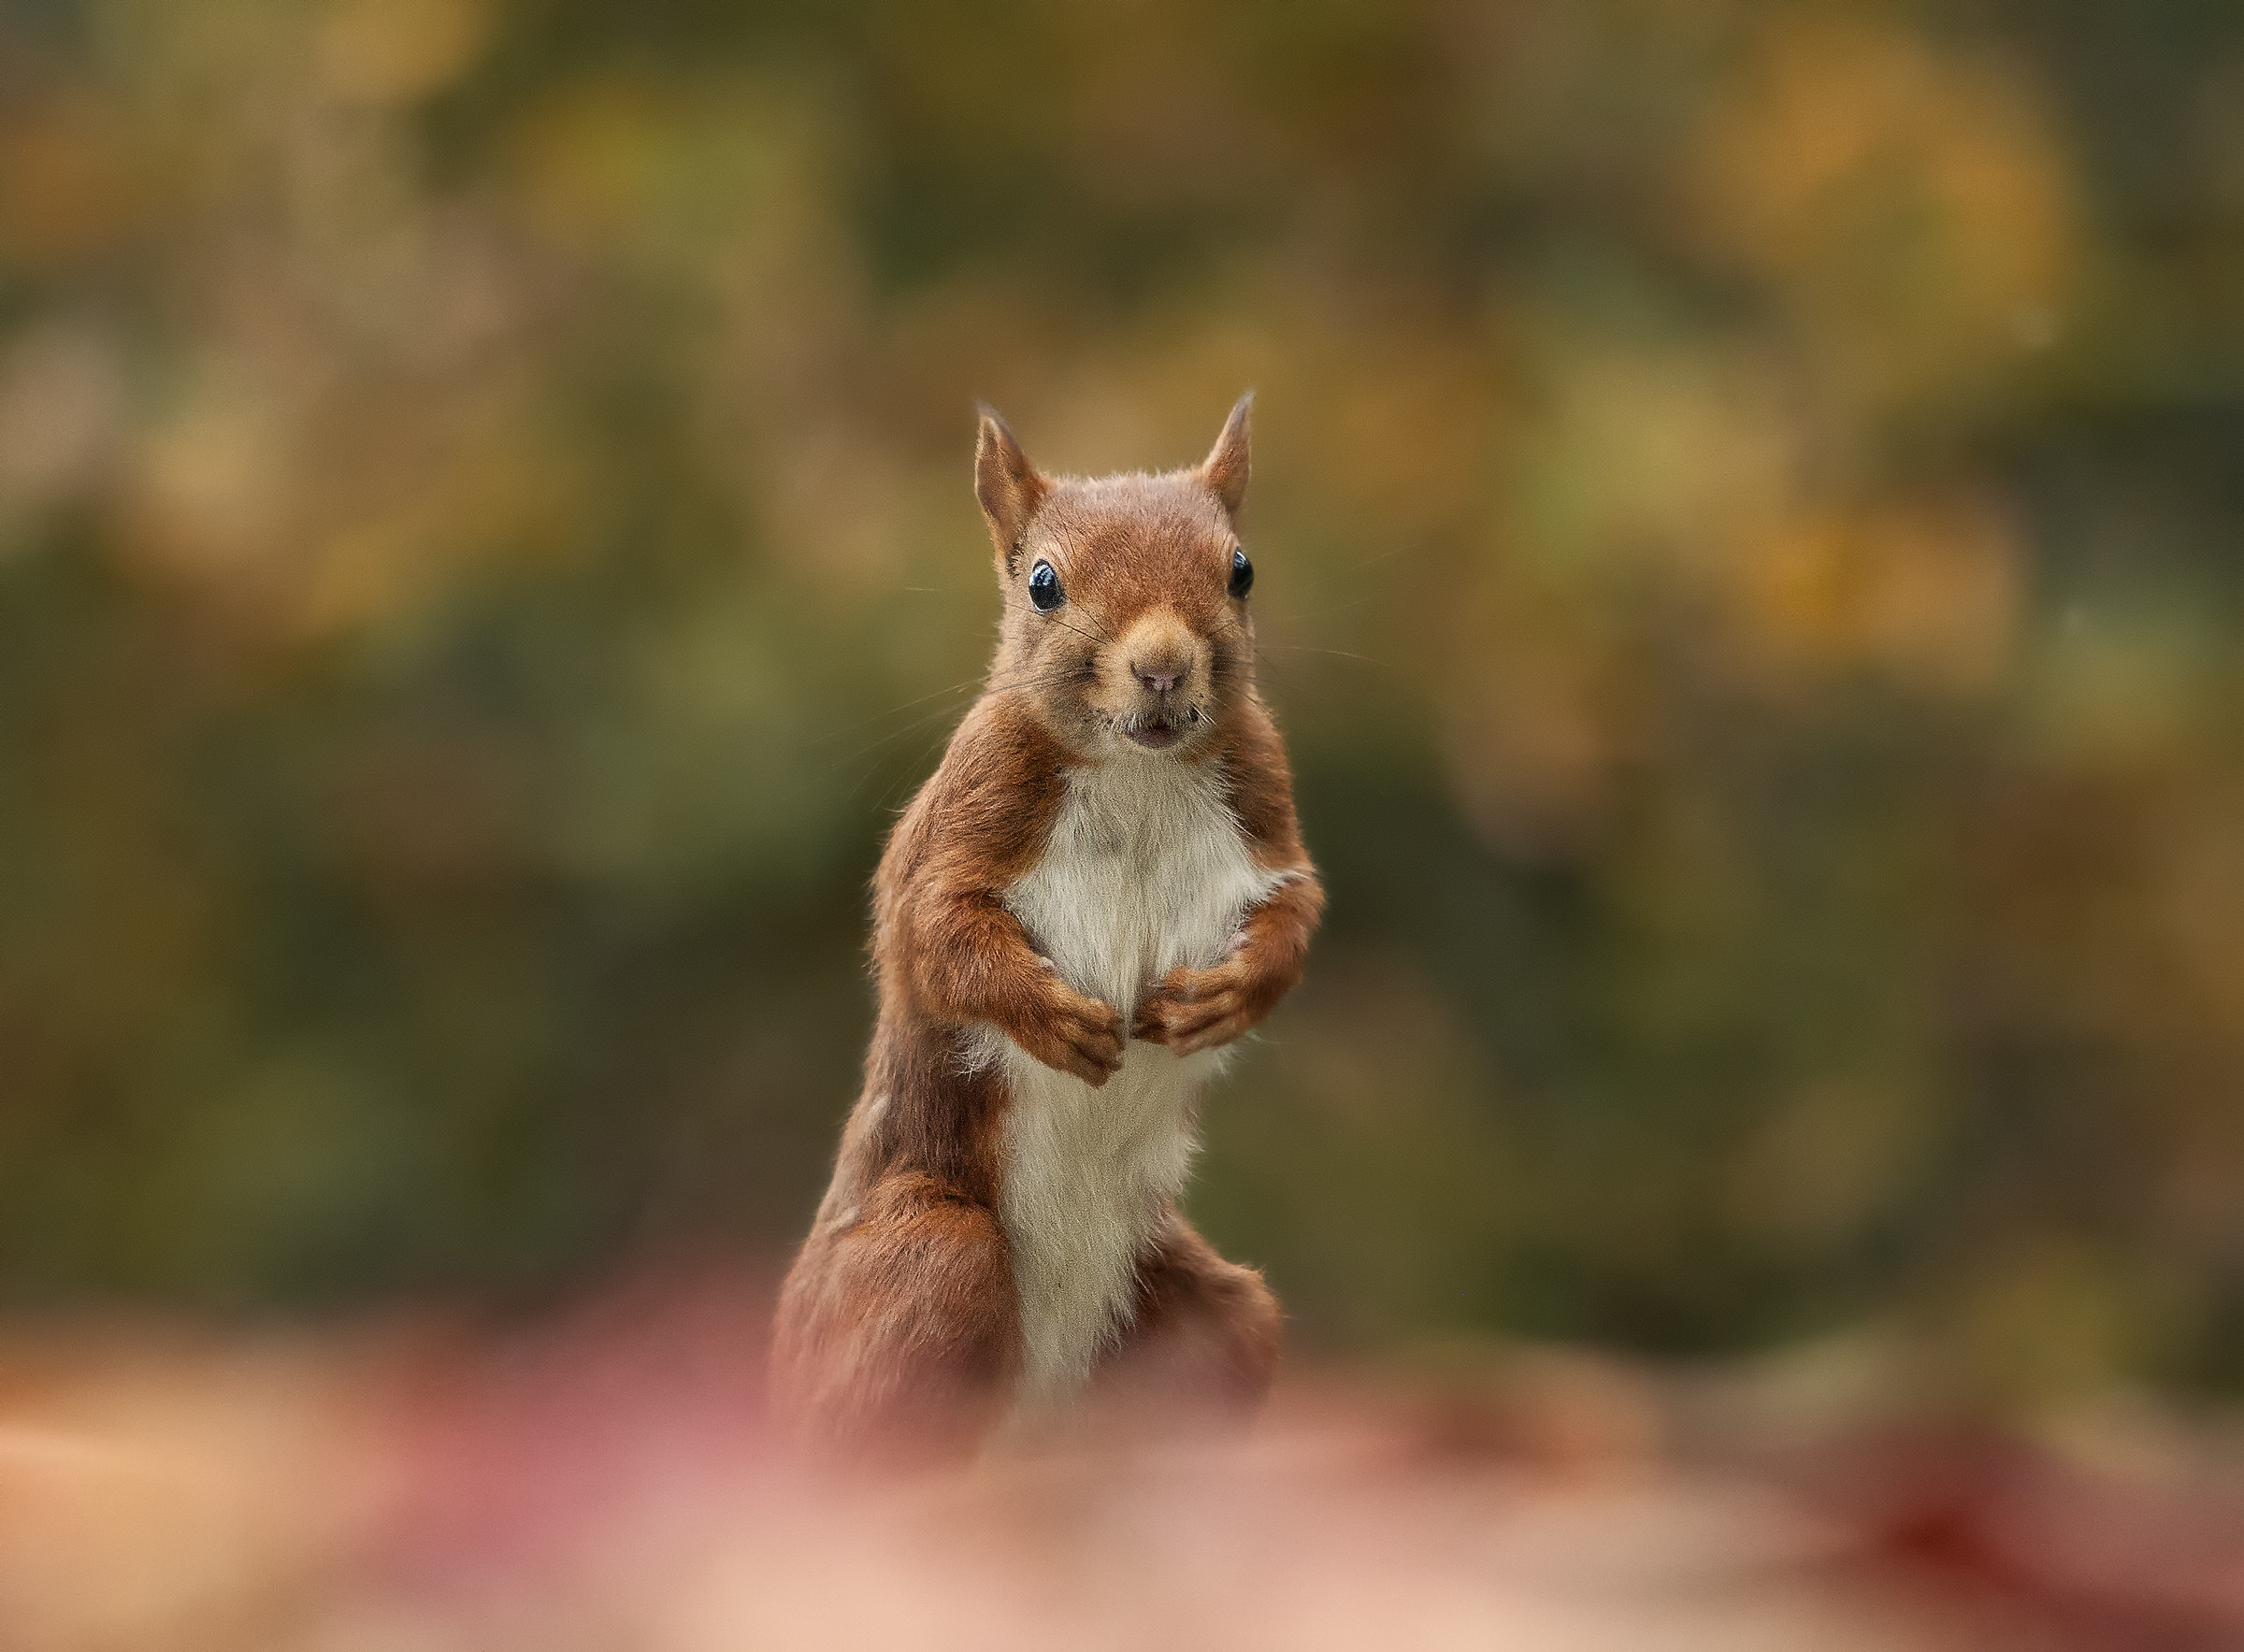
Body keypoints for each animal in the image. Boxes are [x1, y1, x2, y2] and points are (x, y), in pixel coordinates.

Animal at [771, 396, 1324, 1464]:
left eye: (1241, 569)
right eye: (1042, 583)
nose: (1161, 667)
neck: (1140, 775)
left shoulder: (1267, 813)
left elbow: (1296, 917)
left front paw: (1225, 998)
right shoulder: (959, 828)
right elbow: (935, 937)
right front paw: (1049, 1018)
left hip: (1212, 1314)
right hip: (927, 1258)